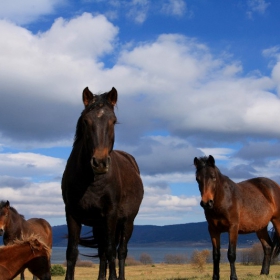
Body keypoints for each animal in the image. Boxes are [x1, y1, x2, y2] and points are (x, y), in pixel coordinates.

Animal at [61, 86, 144, 278]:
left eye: (113, 121)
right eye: (85, 121)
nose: (99, 162)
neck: (91, 182)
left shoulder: (111, 215)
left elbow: (111, 250)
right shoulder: (72, 214)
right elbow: (72, 253)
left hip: (127, 222)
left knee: (120, 252)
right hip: (99, 226)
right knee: (102, 254)